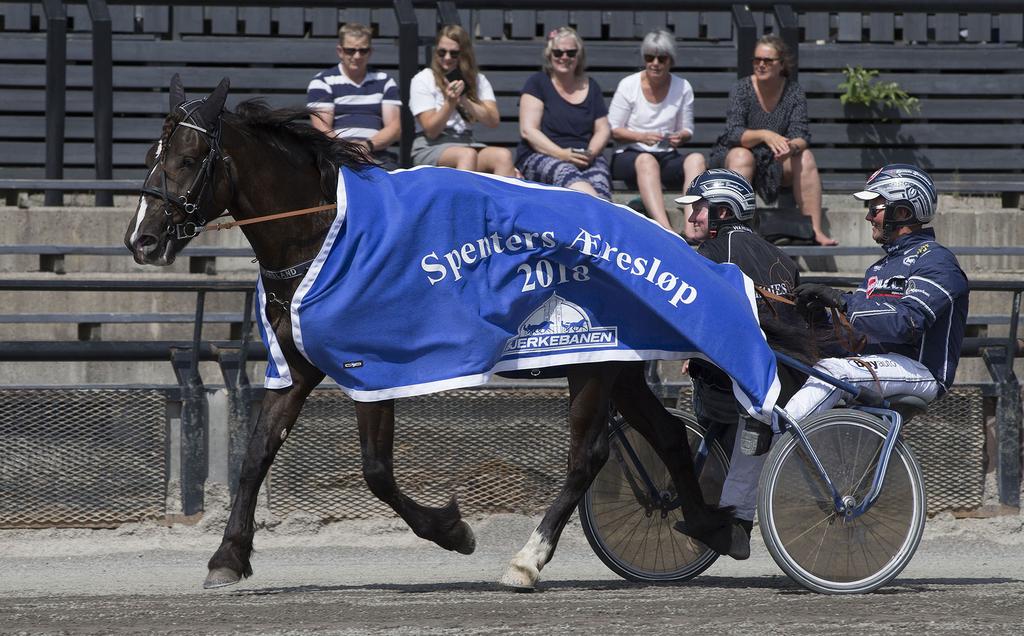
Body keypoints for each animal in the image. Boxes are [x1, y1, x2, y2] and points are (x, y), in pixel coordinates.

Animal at [125, 78, 798, 589]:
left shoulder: (376, 364)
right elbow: (255, 457)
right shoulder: (302, 364)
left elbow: (376, 472)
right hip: (619, 360)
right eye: (151, 155)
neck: (329, 235)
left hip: (593, 364)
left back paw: (529, 558)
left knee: (589, 455)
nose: (142, 240)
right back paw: (708, 524)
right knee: (669, 437)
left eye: (188, 159)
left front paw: (452, 530)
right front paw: (228, 557)